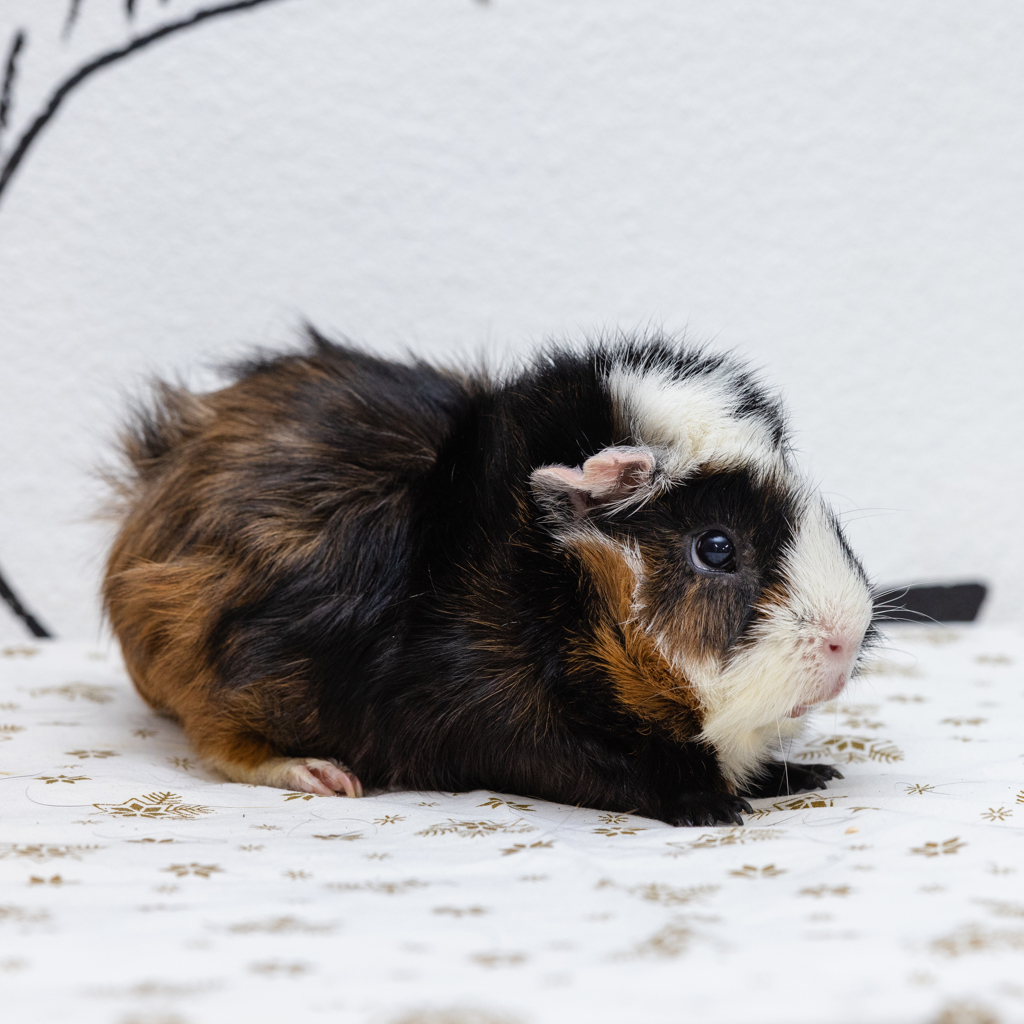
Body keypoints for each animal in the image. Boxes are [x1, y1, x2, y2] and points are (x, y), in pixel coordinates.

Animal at [103, 330, 875, 826]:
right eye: (715, 547)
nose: (849, 635)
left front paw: (810, 774)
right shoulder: (512, 728)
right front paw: (719, 807)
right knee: (222, 746)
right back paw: (326, 776)